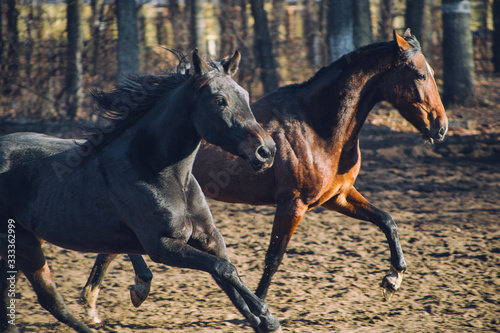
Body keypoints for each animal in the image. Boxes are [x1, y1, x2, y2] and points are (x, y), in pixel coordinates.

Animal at [0, 49, 282, 332]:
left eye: (245, 95)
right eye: (220, 100)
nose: (266, 151)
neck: (157, 172)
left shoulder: (209, 237)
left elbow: (229, 278)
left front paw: (265, 320)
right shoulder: (162, 246)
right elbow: (224, 269)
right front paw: (265, 312)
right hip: (24, 244)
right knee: (50, 299)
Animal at [83, 29, 450, 314]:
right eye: (420, 74)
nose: (441, 127)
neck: (317, 127)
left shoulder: (337, 197)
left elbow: (387, 220)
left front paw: (393, 279)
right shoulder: (293, 204)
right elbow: (274, 257)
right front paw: (257, 308)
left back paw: (114, 293)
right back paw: (111, 294)